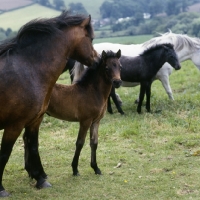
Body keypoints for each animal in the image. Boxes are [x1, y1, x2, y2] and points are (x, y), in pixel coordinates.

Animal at [0, 10, 97, 197]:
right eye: (91, 38)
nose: (97, 60)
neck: (28, 70)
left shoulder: (34, 121)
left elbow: (33, 147)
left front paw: (40, 179)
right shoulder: (14, 125)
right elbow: (5, 154)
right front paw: (1, 189)